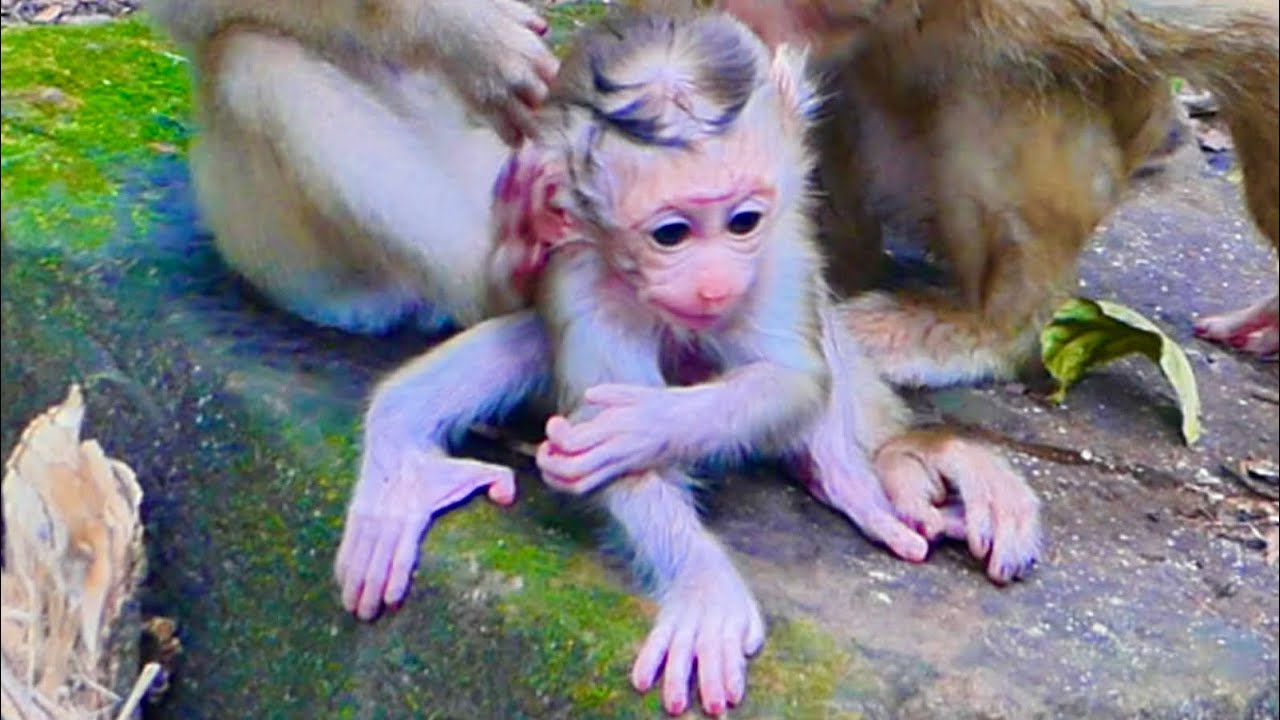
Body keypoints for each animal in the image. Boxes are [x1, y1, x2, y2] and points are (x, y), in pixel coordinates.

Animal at [335, 10, 1041, 716]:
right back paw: (404, 460)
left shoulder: (777, 249)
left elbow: (790, 380)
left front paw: (639, 428)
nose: (712, 284)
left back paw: (862, 476)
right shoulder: (584, 270)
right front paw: (704, 584)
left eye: (742, 221)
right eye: (670, 234)